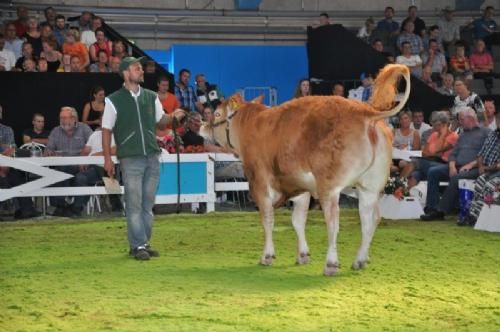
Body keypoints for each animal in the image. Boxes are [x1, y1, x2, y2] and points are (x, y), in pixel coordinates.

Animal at [209, 64, 408, 274]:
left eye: (217, 114)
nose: (204, 127)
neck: (252, 124)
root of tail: (366, 113)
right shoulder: (299, 186)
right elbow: (298, 220)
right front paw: (303, 255)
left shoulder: (259, 183)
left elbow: (267, 219)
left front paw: (267, 256)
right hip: (369, 187)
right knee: (370, 219)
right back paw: (359, 260)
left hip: (330, 186)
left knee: (333, 221)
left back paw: (331, 264)